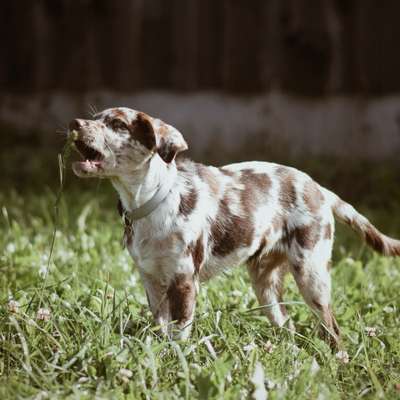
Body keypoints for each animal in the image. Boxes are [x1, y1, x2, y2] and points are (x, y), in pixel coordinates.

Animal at [69, 107, 400, 346]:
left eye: (118, 124)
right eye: (94, 118)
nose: (74, 122)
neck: (153, 201)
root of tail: (320, 189)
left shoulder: (184, 281)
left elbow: (179, 334)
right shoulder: (151, 279)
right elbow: (161, 328)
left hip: (312, 276)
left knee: (332, 329)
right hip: (266, 285)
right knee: (288, 325)